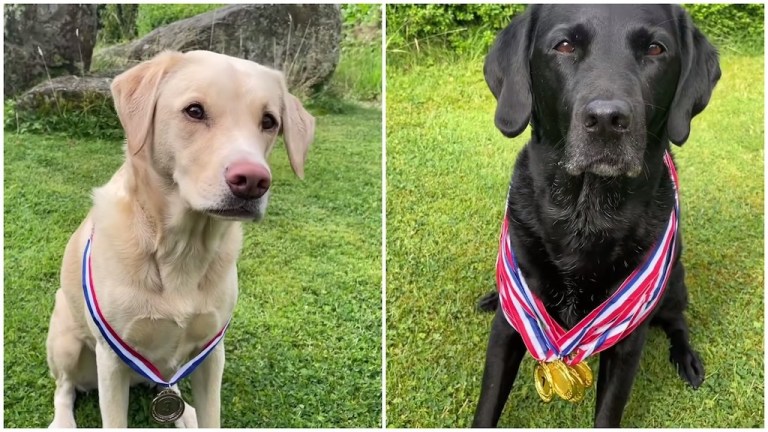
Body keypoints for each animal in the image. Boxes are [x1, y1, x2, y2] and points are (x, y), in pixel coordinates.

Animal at [45, 50, 316, 428]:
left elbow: (212, 415)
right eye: (195, 111)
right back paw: (63, 420)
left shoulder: (212, 351)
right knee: (64, 387)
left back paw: (183, 410)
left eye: (269, 121)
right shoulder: (111, 359)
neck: (182, 248)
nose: (252, 181)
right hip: (67, 341)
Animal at [474, 4, 720, 428]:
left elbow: (608, 411)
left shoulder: (627, 337)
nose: (607, 120)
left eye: (655, 49)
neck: (585, 214)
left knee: (677, 320)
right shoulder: (511, 324)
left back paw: (686, 358)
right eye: (564, 45)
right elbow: (487, 405)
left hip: (674, 282)